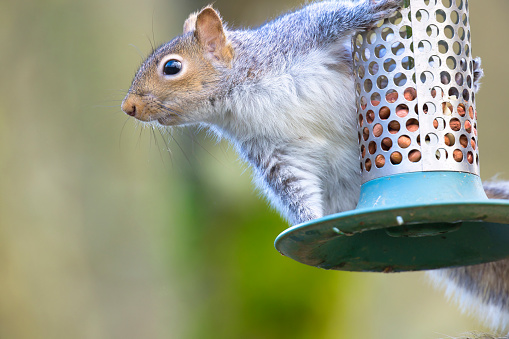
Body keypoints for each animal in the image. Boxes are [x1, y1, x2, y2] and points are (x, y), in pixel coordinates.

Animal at [121, 0, 508, 334]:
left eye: (172, 67)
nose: (128, 107)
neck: (240, 96)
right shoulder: (275, 154)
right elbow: (295, 189)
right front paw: (310, 221)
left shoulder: (298, 38)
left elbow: (330, 17)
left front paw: (370, 9)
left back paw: (468, 79)